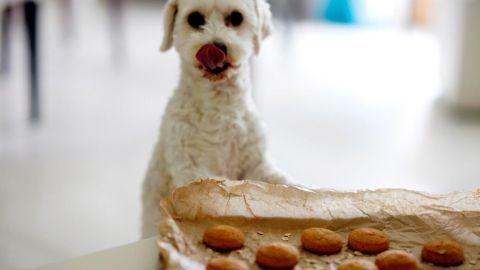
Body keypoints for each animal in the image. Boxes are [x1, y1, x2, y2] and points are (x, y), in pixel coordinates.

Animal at [141, 0, 286, 237]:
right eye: (195, 19)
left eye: (236, 17)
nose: (217, 47)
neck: (219, 107)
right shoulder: (189, 168)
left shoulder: (256, 163)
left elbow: (278, 181)